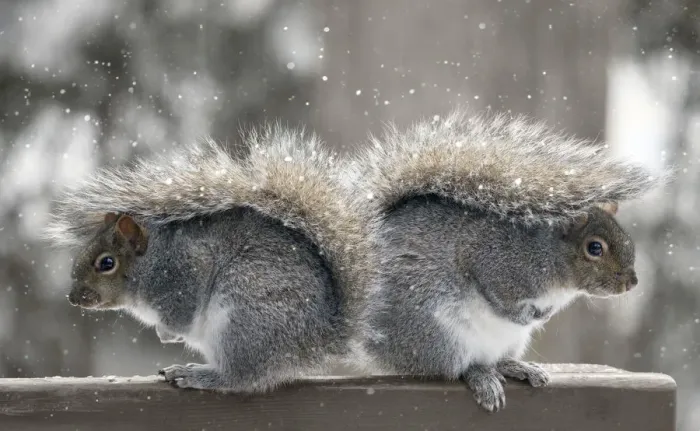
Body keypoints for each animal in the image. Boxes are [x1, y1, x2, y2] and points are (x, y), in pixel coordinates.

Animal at [44, 127, 373, 393]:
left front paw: (166, 332)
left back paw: (197, 375)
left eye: (107, 263)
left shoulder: (184, 274)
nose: (73, 297)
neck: (152, 263)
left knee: (240, 378)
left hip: (243, 317)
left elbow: (181, 316)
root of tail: (318, 338)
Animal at [343, 109, 667, 412]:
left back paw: (514, 366)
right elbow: (498, 297)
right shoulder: (493, 262)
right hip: (436, 334)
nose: (631, 282)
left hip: (509, 342)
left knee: (494, 360)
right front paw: (522, 315)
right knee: (453, 368)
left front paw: (543, 316)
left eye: (626, 237)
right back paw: (481, 377)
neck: (551, 263)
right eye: (595, 248)